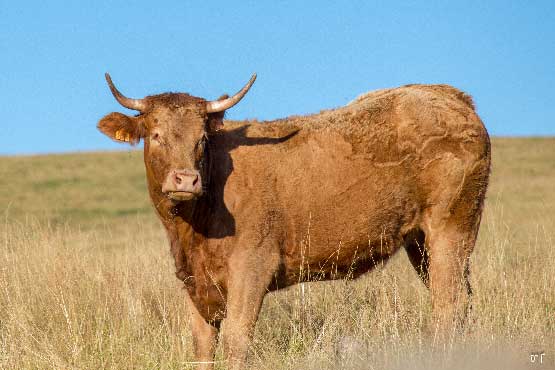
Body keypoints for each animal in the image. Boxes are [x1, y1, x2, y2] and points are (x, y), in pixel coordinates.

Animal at [99, 73, 490, 370]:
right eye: (155, 135)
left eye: (203, 139)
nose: (185, 179)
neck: (192, 230)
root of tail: (451, 97)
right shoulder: (196, 283)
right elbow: (202, 345)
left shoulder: (252, 267)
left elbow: (237, 338)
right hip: (422, 243)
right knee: (462, 303)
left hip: (451, 228)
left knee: (449, 307)